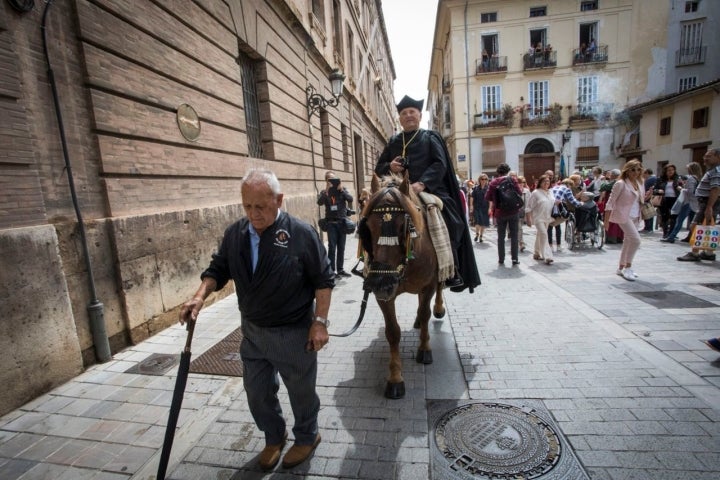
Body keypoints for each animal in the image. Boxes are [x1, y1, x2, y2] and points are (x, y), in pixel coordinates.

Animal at [358, 172, 448, 398]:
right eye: (368, 228)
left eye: (403, 227)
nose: (381, 284)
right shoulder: (384, 297)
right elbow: (393, 331)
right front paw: (395, 378)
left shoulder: (428, 286)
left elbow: (425, 314)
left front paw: (424, 350)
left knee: (438, 292)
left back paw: (438, 309)